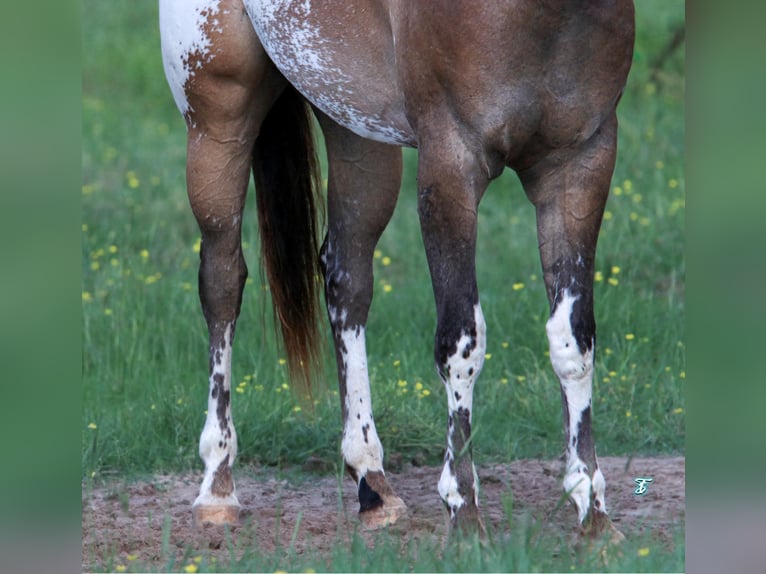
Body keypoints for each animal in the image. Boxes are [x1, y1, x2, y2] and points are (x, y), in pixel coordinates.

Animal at [158, 0, 636, 540]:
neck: (545, 16)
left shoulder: (580, 166)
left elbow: (573, 341)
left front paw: (593, 515)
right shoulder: (451, 166)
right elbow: (462, 343)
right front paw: (464, 512)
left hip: (354, 126)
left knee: (345, 278)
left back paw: (372, 484)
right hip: (218, 118)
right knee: (221, 283)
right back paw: (217, 488)